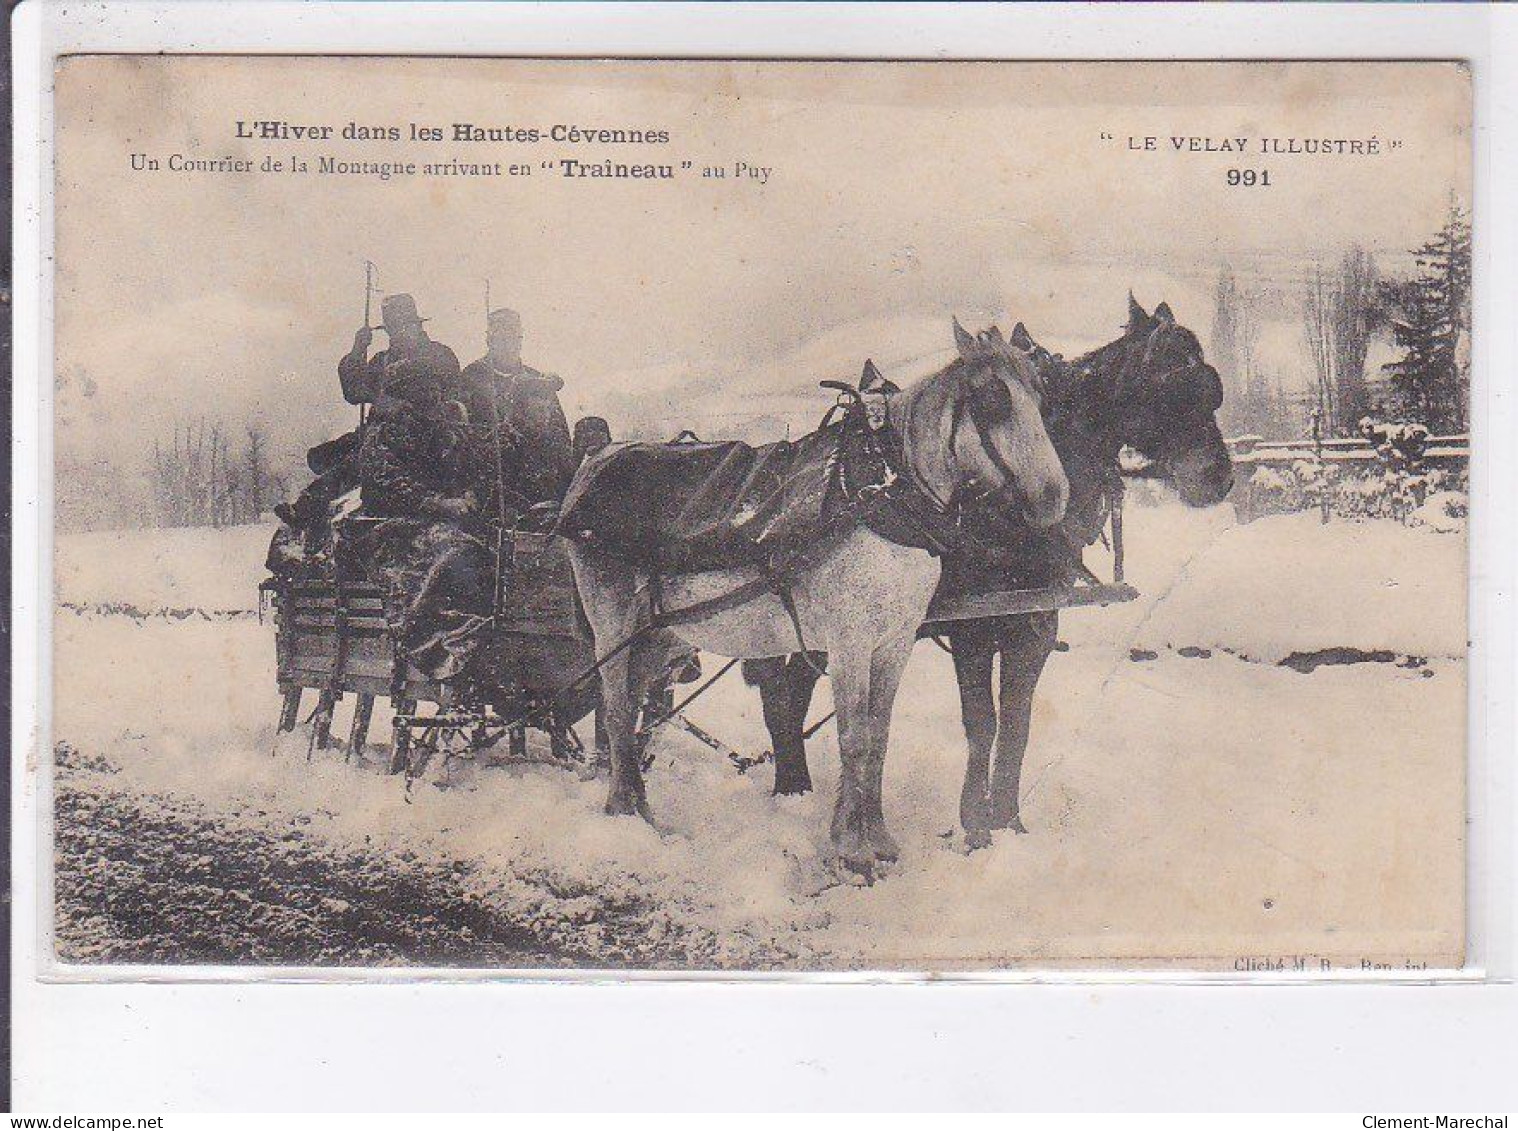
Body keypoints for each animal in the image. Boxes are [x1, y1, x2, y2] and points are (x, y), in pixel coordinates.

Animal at [561, 321, 1068, 880]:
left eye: (1041, 394)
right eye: (993, 399)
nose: (1054, 498)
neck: (883, 497)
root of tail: (595, 462)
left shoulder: (894, 644)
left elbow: (878, 736)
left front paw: (880, 838)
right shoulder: (849, 645)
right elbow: (854, 738)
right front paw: (851, 849)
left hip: (663, 633)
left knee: (635, 704)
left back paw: (640, 802)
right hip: (613, 623)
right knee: (614, 706)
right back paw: (623, 808)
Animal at [743, 296, 1232, 844]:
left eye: (1210, 386)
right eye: (1169, 385)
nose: (1219, 477)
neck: (1005, 513)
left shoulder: (1036, 623)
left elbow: (1017, 724)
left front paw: (1009, 819)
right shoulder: (972, 627)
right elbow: (982, 722)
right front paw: (975, 825)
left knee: (792, 688)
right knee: (779, 689)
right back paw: (791, 787)